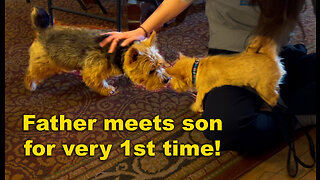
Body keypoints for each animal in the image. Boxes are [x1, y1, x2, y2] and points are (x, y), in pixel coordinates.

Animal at [25, 7, 170, 95]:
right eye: (151, 70)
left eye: (161, 65)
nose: (167, 79)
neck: (119, 53)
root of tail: (43, 30)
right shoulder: (92, 72)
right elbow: (98, 82)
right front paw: (107, 89)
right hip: (41, 63)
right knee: (31, 73)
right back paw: (30, 84)